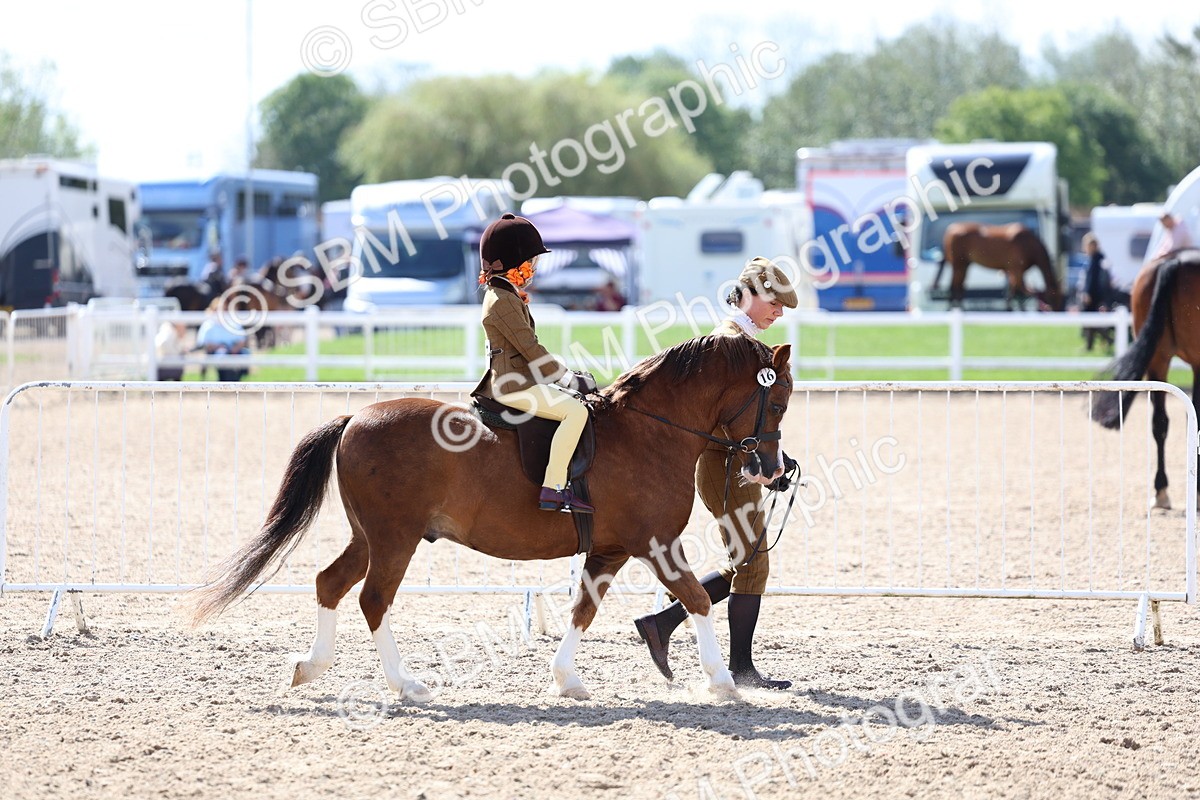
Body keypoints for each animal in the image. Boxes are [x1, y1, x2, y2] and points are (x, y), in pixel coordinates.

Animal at [189, 334, 793, 701]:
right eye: (779, 402)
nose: (771, 469)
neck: (650, 429)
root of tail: (355, 417)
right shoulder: (656, 542)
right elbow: (694, 599)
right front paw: (722, 682)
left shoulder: (611, 549)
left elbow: (583, 609)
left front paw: (566, 679)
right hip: (395, 538)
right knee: (373, 599)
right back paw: (406, 684)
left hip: (369, 536)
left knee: (330, 583)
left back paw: (312, 667)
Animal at [935, 222, 1066, 312]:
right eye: (1053, 298)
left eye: (1061, 297)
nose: (1058, 311)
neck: (1028, 244)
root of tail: (951, 229)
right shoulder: (1016, 270)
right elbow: (1022, 289)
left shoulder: (1014, 271)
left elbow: (1014, 291)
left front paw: (1013, 309)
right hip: (958, 265)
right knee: (954, 286)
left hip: (964, 265)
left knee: (960, 286)